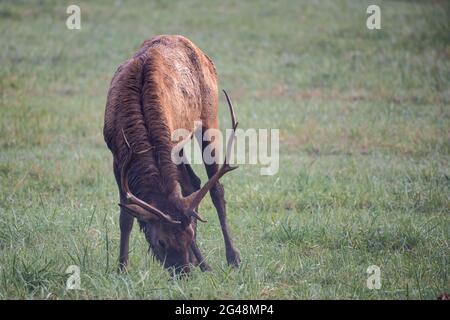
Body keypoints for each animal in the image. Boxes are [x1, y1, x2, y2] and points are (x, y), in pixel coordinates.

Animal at [103, 35, 241, 276]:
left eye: (189, 237)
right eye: (161, 242)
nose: (184, 273)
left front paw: (204, 264)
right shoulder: (117, 157)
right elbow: (126, 217)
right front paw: (121, 268)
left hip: (209, 118)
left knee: (215, 189)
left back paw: (232, 258)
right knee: (193, 183)